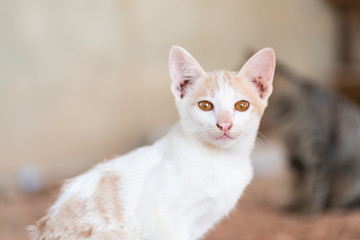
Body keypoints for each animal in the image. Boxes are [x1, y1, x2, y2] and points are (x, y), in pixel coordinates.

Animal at [262, 63, 360, 214]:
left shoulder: (319, 150)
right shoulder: (293, 152)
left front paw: (311, 208)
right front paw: (295, 204)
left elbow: (317, 183)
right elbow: (297, 185)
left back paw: (337, 205)